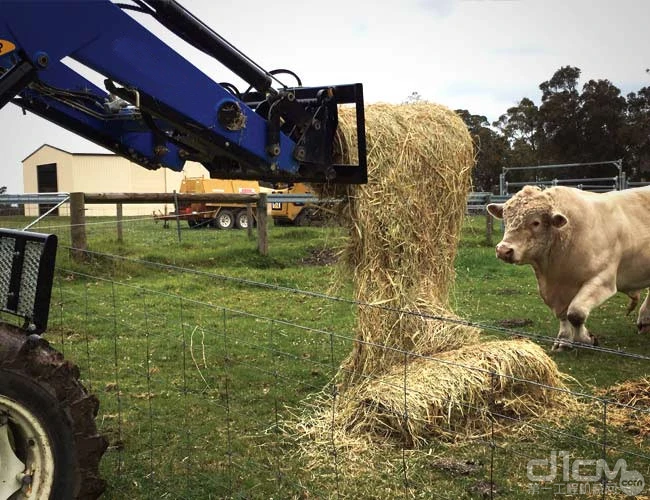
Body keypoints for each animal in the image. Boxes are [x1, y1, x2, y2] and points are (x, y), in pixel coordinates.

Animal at [484, 185, 648, 352]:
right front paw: (564, 340)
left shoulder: (603, 280)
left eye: (536, 222)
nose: (503, 250)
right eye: (505, 219)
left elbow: (575, 313)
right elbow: (563, 315)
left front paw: (586, 339)